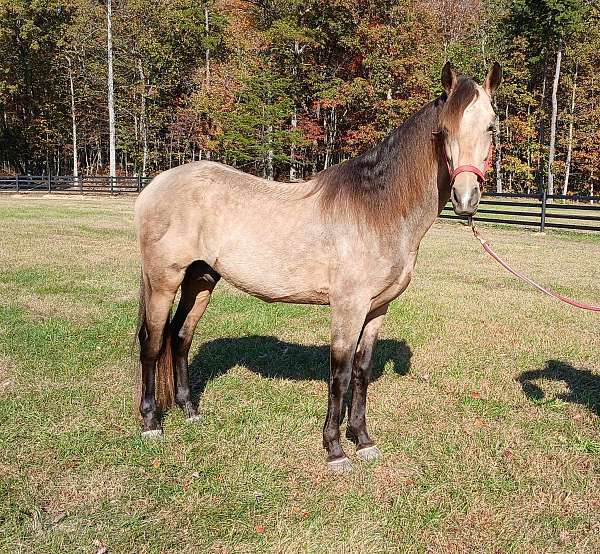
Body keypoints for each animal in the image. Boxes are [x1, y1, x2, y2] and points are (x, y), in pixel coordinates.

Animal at [135, 63, 502, 470]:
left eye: (491, 127)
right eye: (444, 130)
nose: (465, 198)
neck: (377, 210)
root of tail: (156, 185)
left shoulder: (377, 309)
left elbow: (361, 371)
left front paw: (363, 440)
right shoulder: (348, 306)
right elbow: (339, 374)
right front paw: (335, 449)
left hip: (200, 279)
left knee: (181, 336)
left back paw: (190, 411)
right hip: (163, 281)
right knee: (153, 343)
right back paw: (151, 424)